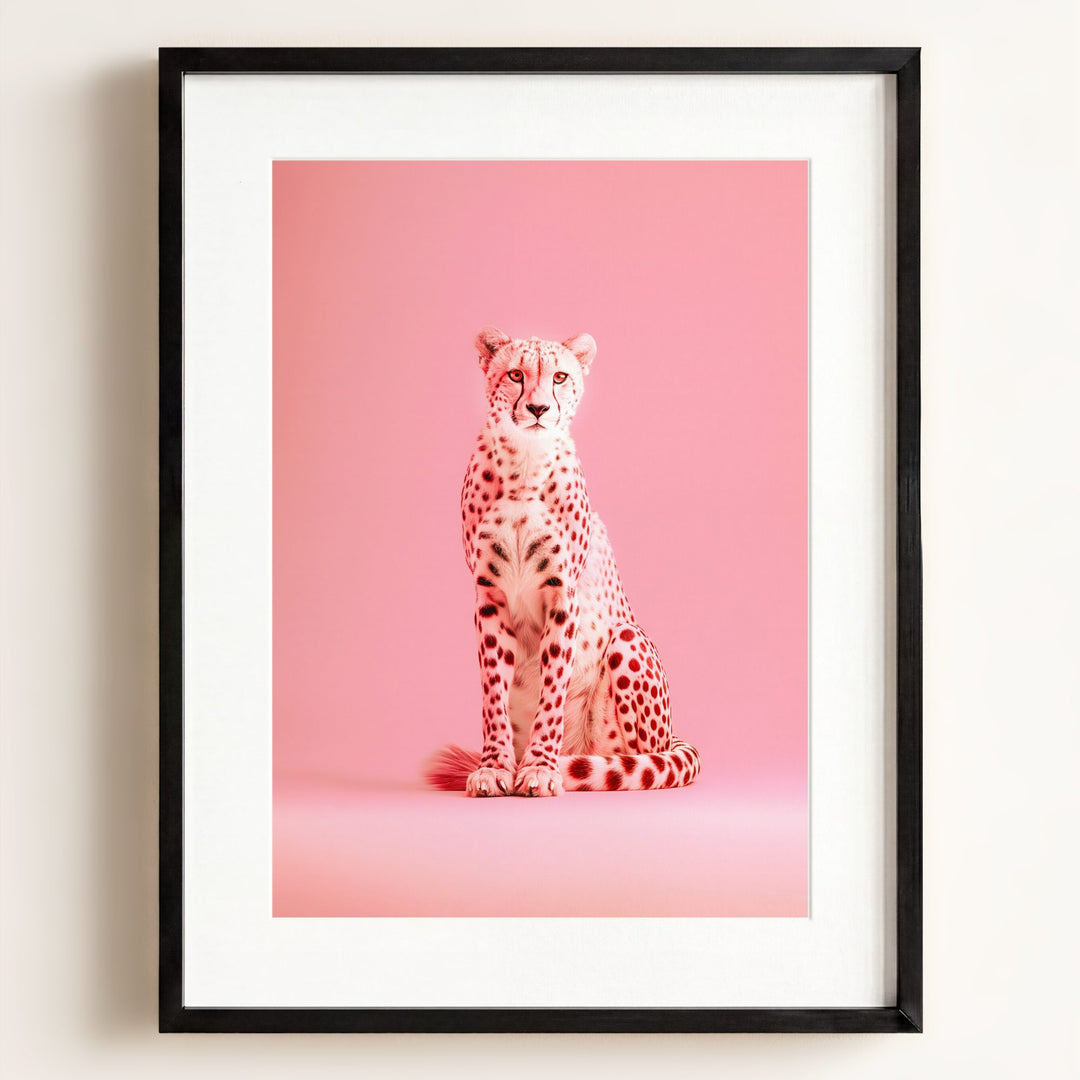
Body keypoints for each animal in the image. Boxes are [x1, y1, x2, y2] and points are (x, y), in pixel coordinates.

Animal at [424, 327, 702, 797]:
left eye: (559, 376)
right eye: (516, 375)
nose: (538, 408)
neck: (524, 463)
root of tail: (672, 735)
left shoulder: (562, 594)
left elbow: (553, 688)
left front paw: (539, 767)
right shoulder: (489, 596)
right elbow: (493, 692)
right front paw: (496, 767)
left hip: (627, 641)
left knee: (643, 759)